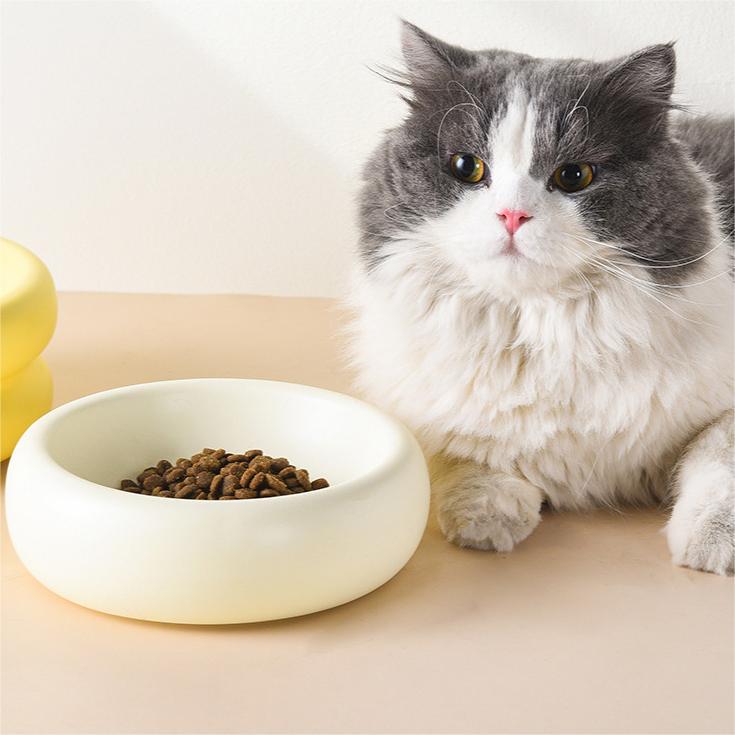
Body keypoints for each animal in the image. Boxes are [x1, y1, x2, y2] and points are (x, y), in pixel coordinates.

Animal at [346, 21, 735, 576]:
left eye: (574, 176)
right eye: (467, 167)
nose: (512, 216)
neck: (538, 333)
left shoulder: (721, 412)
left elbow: (718, 464)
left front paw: (709, 548)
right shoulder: (429, 417)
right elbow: (463, 457)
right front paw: (486, 521)